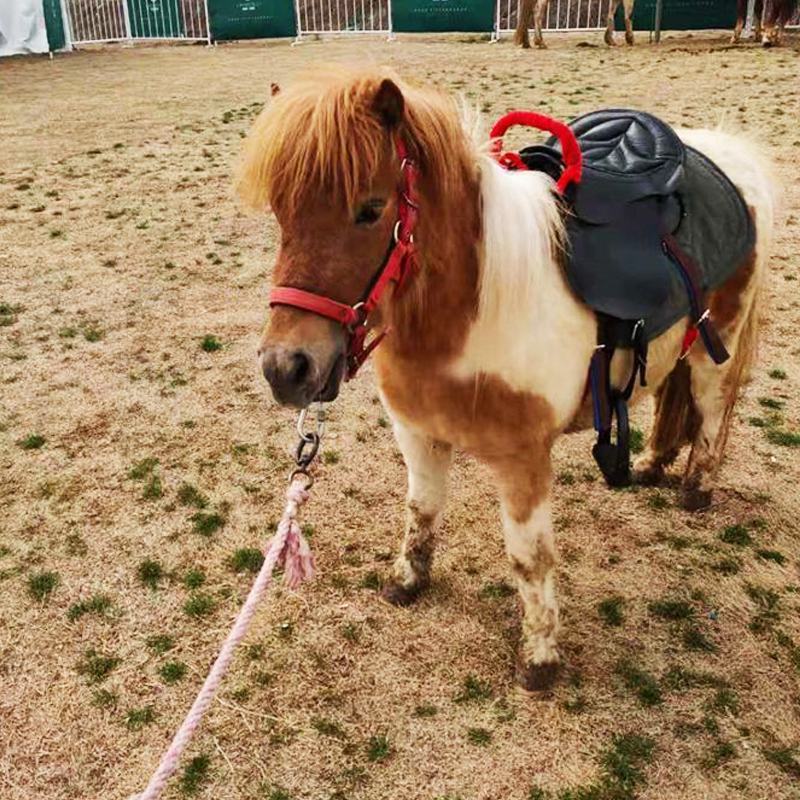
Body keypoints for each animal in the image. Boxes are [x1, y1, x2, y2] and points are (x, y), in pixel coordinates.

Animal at [238, 69, 774, 690]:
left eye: (370, 209)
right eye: (280, 212)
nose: (285, 368)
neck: (470, 314)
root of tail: (726, 152)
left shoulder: (523, 461)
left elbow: (528, 557)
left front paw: (538, 659)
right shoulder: (418, 434)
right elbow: (421, 509)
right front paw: (407, 581)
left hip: (717, 348)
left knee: (712, 409)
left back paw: (695, 488)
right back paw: (652, 462)